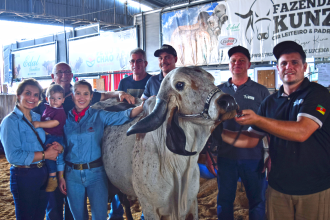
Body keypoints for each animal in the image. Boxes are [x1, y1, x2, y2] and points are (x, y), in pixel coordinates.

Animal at [91, 67, 238, 220]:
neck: (177, 165)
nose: (228, 101)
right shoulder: (149, 208)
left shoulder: (192, 203)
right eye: (180, 84)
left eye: (212, 80)